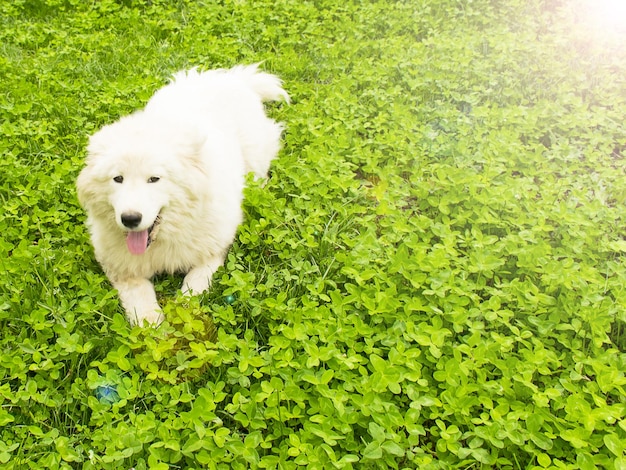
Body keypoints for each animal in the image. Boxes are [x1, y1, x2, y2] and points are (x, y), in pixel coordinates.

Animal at [75, 64, 288, 324]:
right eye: (118, 178)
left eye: (154, 179)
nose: (130, 219)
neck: (162, 241)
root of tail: (231, 78)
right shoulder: (121, 269)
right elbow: (142, 302)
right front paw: (155, 327)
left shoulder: (213, 252)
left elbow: (192, 288)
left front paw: (180, 316)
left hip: (255, 158)